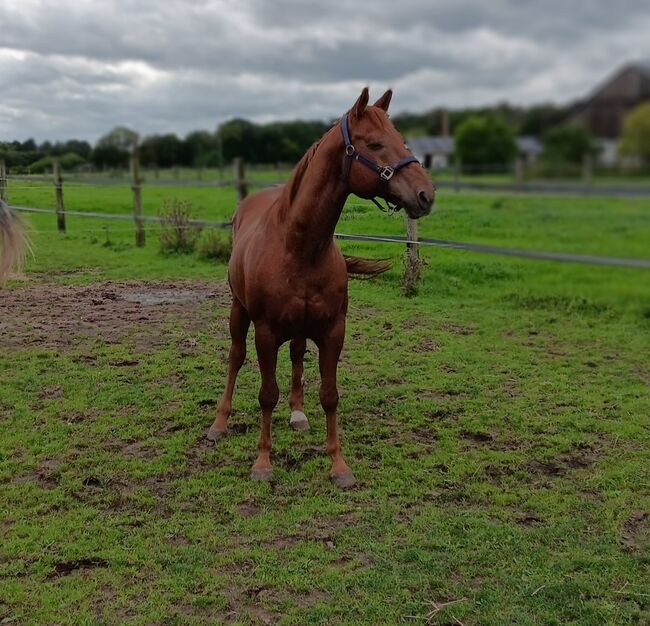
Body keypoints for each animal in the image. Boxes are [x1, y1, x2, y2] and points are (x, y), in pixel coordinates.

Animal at [209, 88, 436, 488]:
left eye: (401, 140)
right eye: (375, 143)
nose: (426, 194)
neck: (299, 246)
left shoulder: (333, 331)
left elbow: (329, 395)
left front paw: (339, 466)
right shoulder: (265, 333)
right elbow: (267, 394)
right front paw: (263, 462)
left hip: (300, 327)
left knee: (298, 354)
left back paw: (298, 414)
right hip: (239, 310)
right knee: (235, 357)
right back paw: (219, 423)